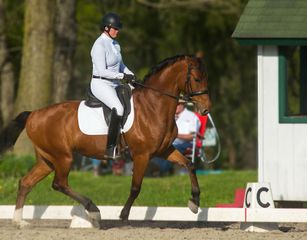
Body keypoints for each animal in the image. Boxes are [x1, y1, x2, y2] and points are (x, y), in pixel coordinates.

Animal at [0, 54, 212, 227]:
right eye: (197, 79)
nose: (206, 109)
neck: (153, 106)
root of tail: (34, 114)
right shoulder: (142, 155)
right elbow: (135, 187)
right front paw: (124, 216)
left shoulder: (164, 150)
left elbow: (190, 164)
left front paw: (194, 203)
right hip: (63, 157)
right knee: (59, 183)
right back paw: (93, 210)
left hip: (47, 160)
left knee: (26, 182)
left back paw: (19, 221)